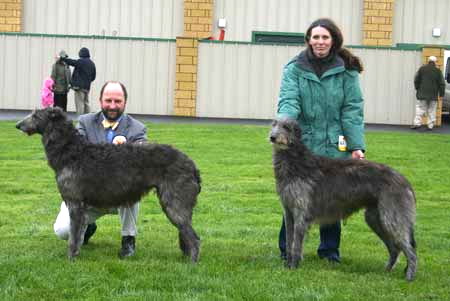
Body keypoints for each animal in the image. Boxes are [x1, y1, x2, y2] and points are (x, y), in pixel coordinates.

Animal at [16, 107, 201, 260]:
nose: (18, 125)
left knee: (194, 238)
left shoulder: (75, 204)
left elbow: (73, 236)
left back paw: (191, 263)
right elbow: (77, 233)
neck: (71, 150)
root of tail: (192, 165)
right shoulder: (80, 207)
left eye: (36, 115)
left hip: (174, 204)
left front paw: (70, 259)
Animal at [268, 118, 416, 280]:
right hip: (375, 218)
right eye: (274, 125)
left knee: (410, 250)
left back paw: (409, 277)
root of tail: (405, 181)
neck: (296, 161)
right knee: (395, 248)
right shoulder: (288, 212)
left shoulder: (301, 212)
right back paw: (387, 271)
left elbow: (296, 244)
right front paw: (288, 265)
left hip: (392, 218)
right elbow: (289, 241)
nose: (272, 137)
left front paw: (294, 267)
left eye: (286, 127)